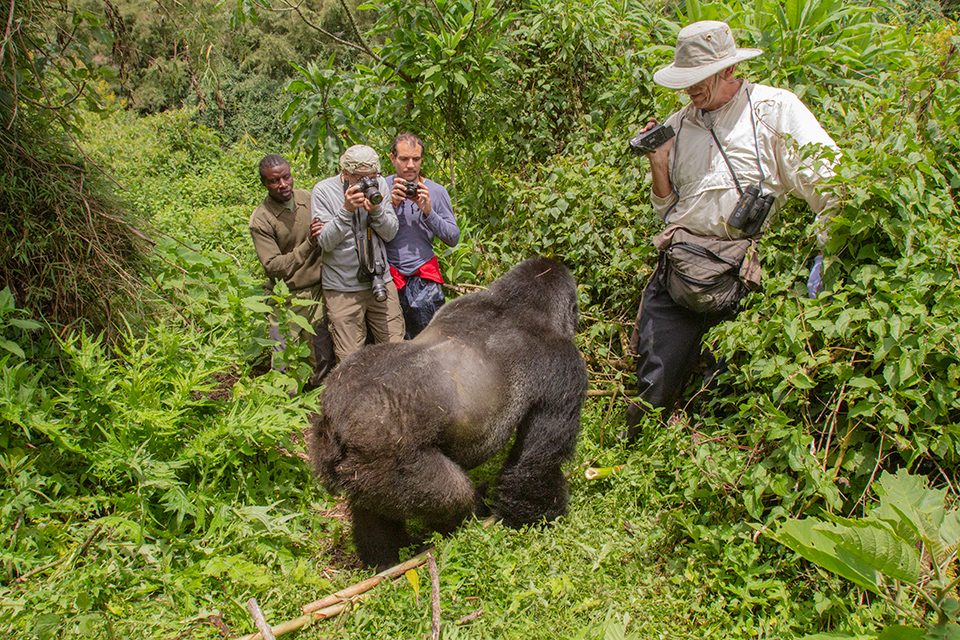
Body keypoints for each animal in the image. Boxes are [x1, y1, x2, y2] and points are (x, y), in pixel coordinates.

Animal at [312, 258, 588, 568]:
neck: (518, 304)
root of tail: (338, 421)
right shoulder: (565, 366)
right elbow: (537, 462)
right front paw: (537, 519)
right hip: (391, 457)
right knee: (453, 496)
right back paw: (463, 522)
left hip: (356, 461)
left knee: (370, 508)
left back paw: (386, 556)